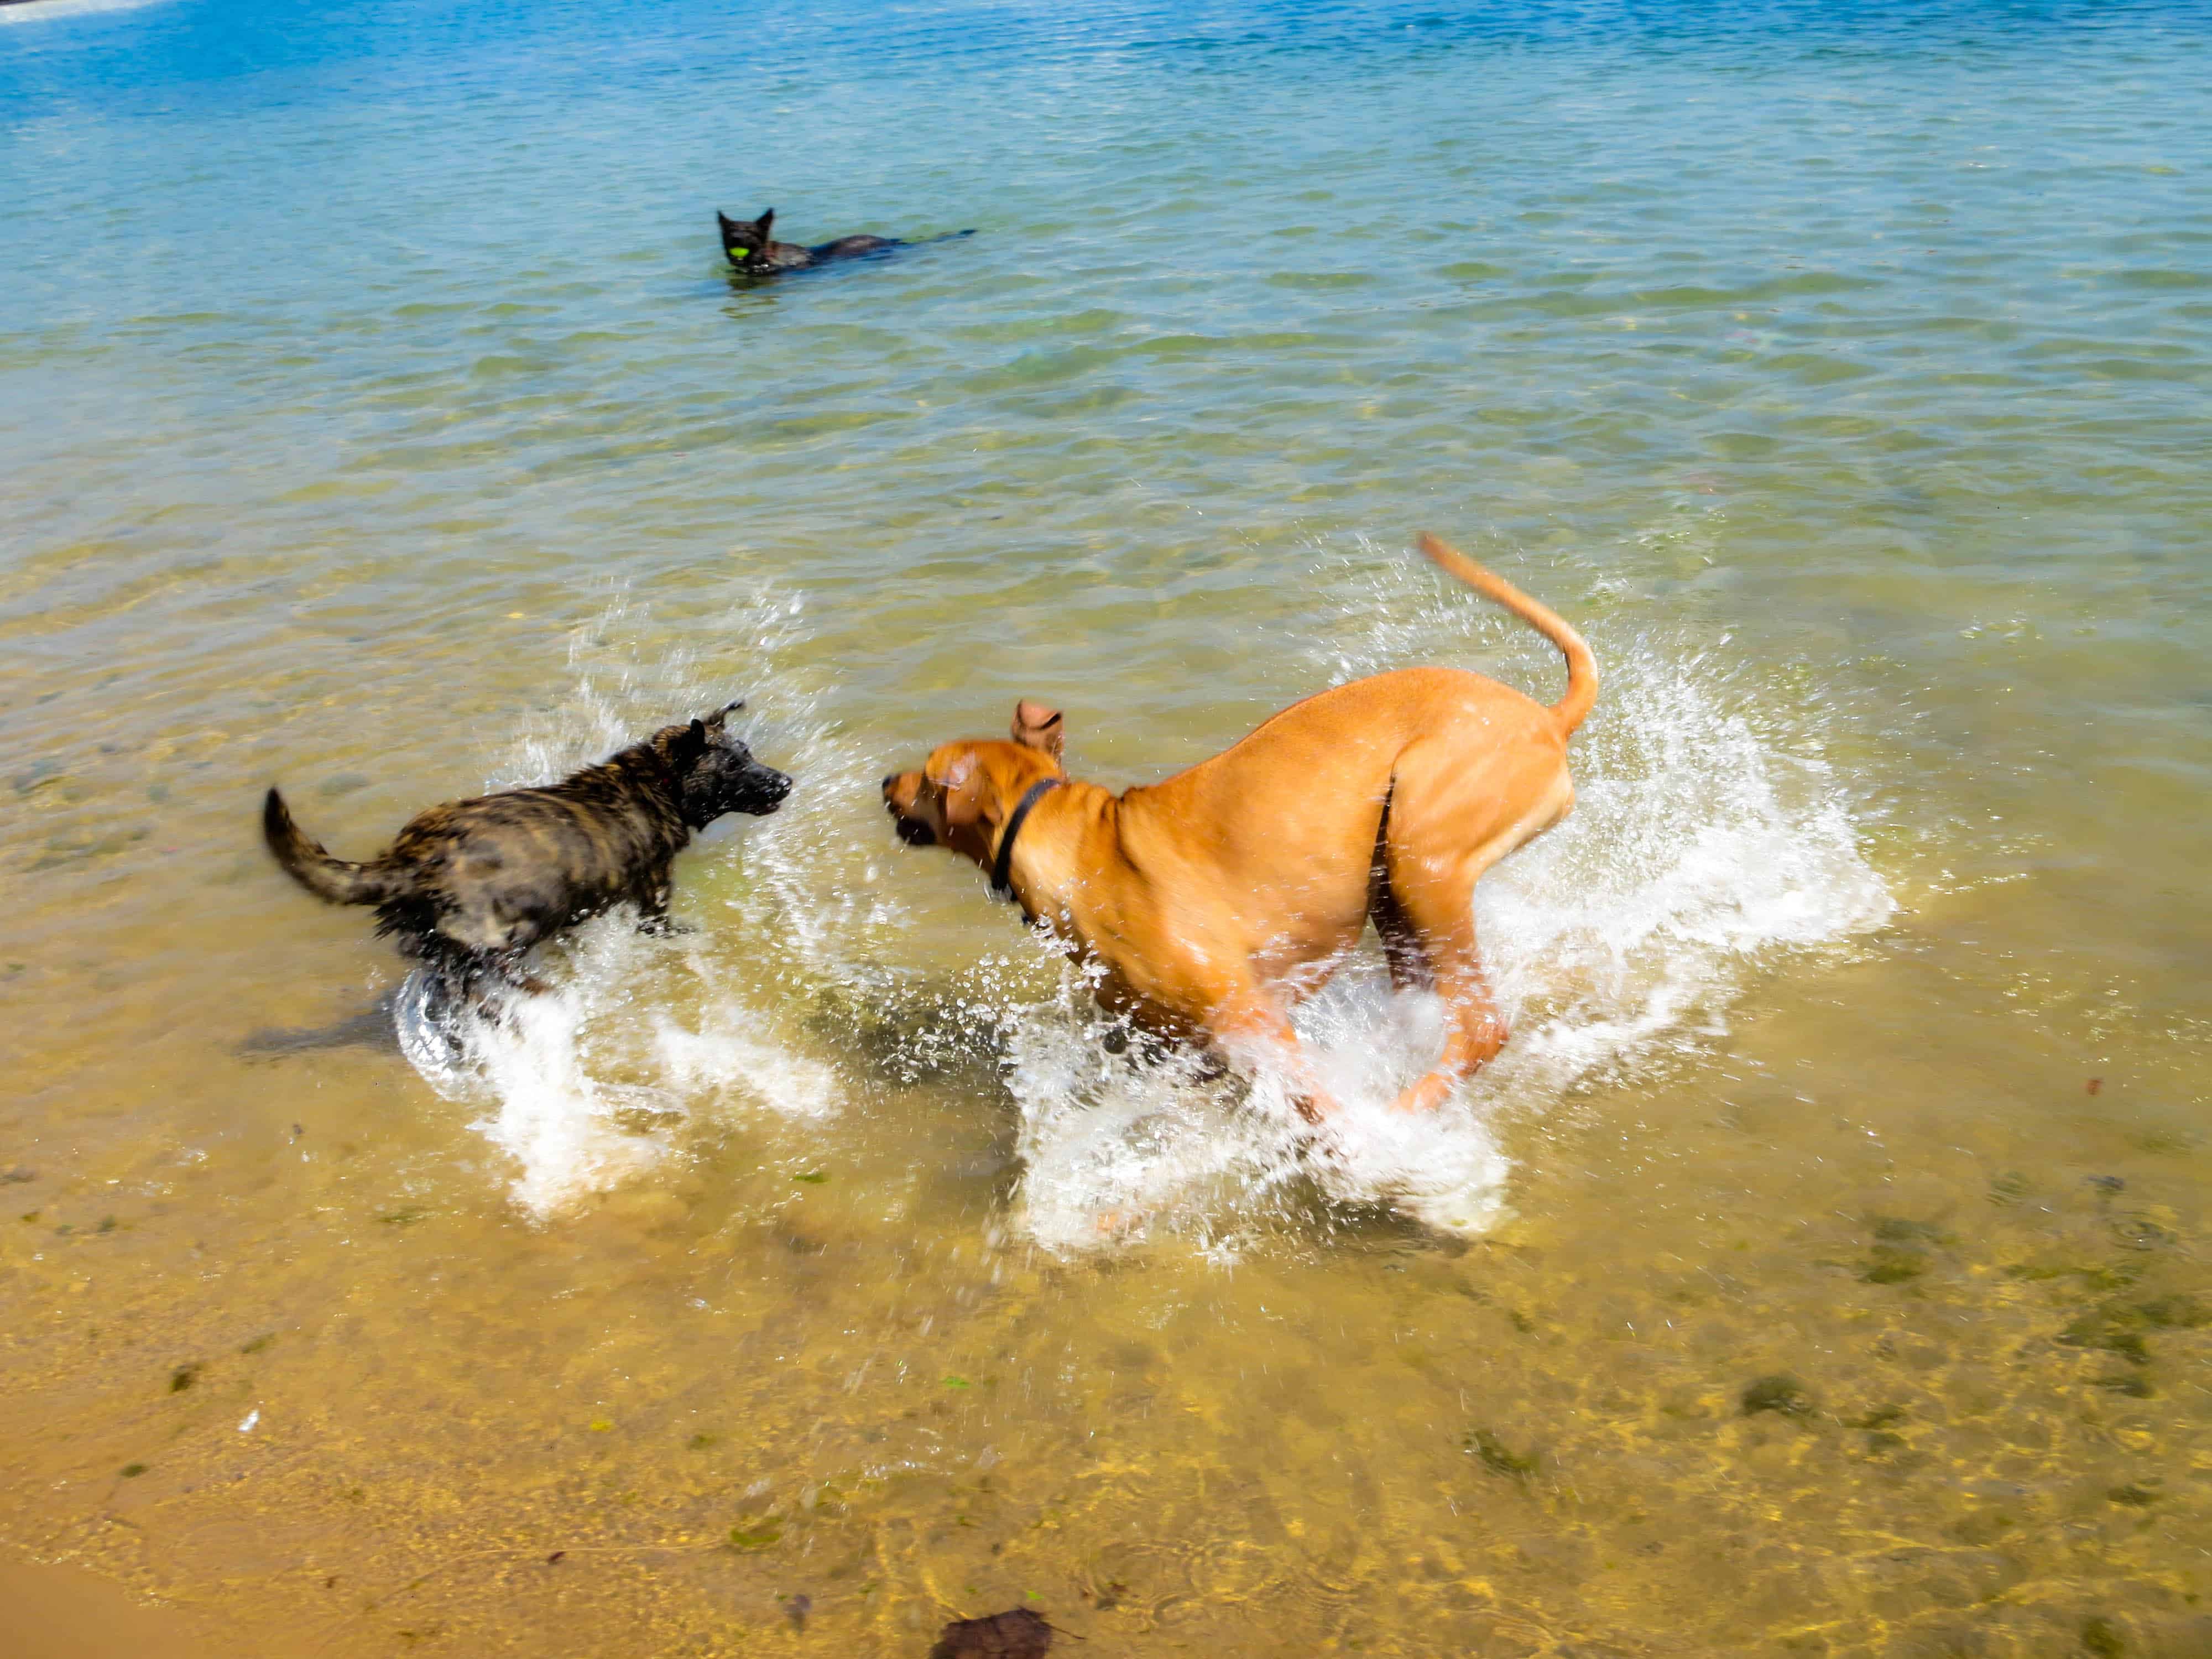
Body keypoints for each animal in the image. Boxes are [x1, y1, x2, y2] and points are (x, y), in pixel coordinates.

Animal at [262, 703, 792, 1000]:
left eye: (748, 752)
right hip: (509, 931)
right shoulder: (653, 894)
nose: (785, 782)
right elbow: (663, 925)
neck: (655, 781)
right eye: (732, 765)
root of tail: (416, 862)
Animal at [876, 540, 1593, 1124]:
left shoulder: (1253, 1020)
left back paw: (1398, 1122)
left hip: (1425, 855)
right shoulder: (1192, 1048)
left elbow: (1316, 1109)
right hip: (1393, 886)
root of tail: (1547, 719)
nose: (885, 782)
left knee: (1481, 1028)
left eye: (927, 776)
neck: (1077, 845)